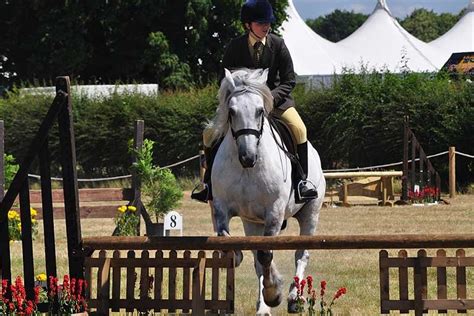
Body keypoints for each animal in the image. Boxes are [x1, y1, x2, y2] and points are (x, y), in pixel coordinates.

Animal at [208, 68, 326, 314]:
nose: (247, 157)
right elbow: (236, 249)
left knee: (301, 254)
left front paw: (274, 292)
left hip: (310, 213)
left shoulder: (274, 212)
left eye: (260, 110)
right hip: (252, 222)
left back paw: (294, 298)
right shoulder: (223, 208)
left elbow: (265, 254)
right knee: (259, 260)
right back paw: (263, 306)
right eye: (231, 111)